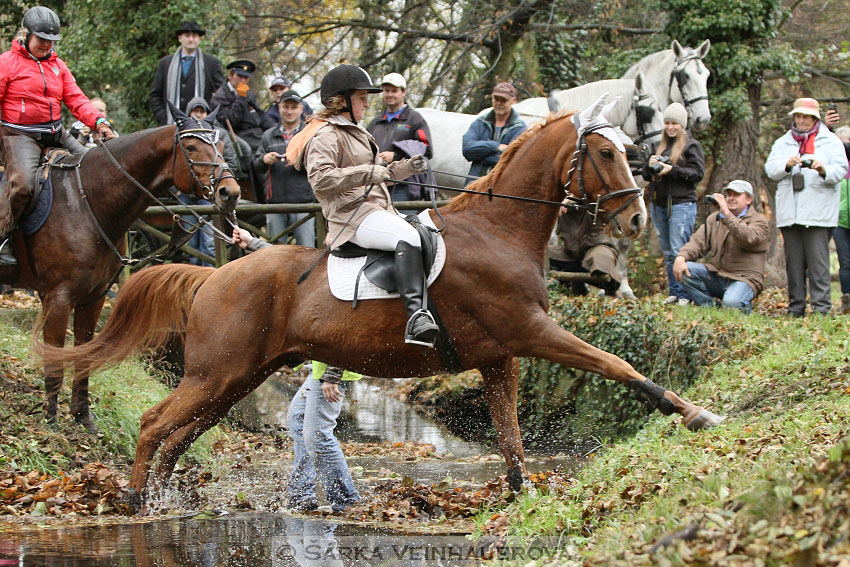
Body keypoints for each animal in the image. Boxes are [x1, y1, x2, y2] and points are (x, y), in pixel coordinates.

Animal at [5, 108, 238, 432]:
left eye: (220, 145)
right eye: (191, 147)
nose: (230, 192)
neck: (85, 202)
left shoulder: (94, 298)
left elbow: (83, 356)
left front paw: (83, 417)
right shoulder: (58, 298)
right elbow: (54, 358)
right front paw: (51, 419)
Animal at [34, 97, 724, 506]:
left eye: (627, 151)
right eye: (606, 153)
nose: (636, 220)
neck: (499, 231)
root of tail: (212, 277)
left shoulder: (500, 358)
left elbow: (510, 441)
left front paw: (521, 496)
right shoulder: (530, 332)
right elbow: (618, 365)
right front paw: (696, 415)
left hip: (235, 378)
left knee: (179, 436)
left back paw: (160, 498)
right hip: (218, 373)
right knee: (157, 425)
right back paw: (135, 501)